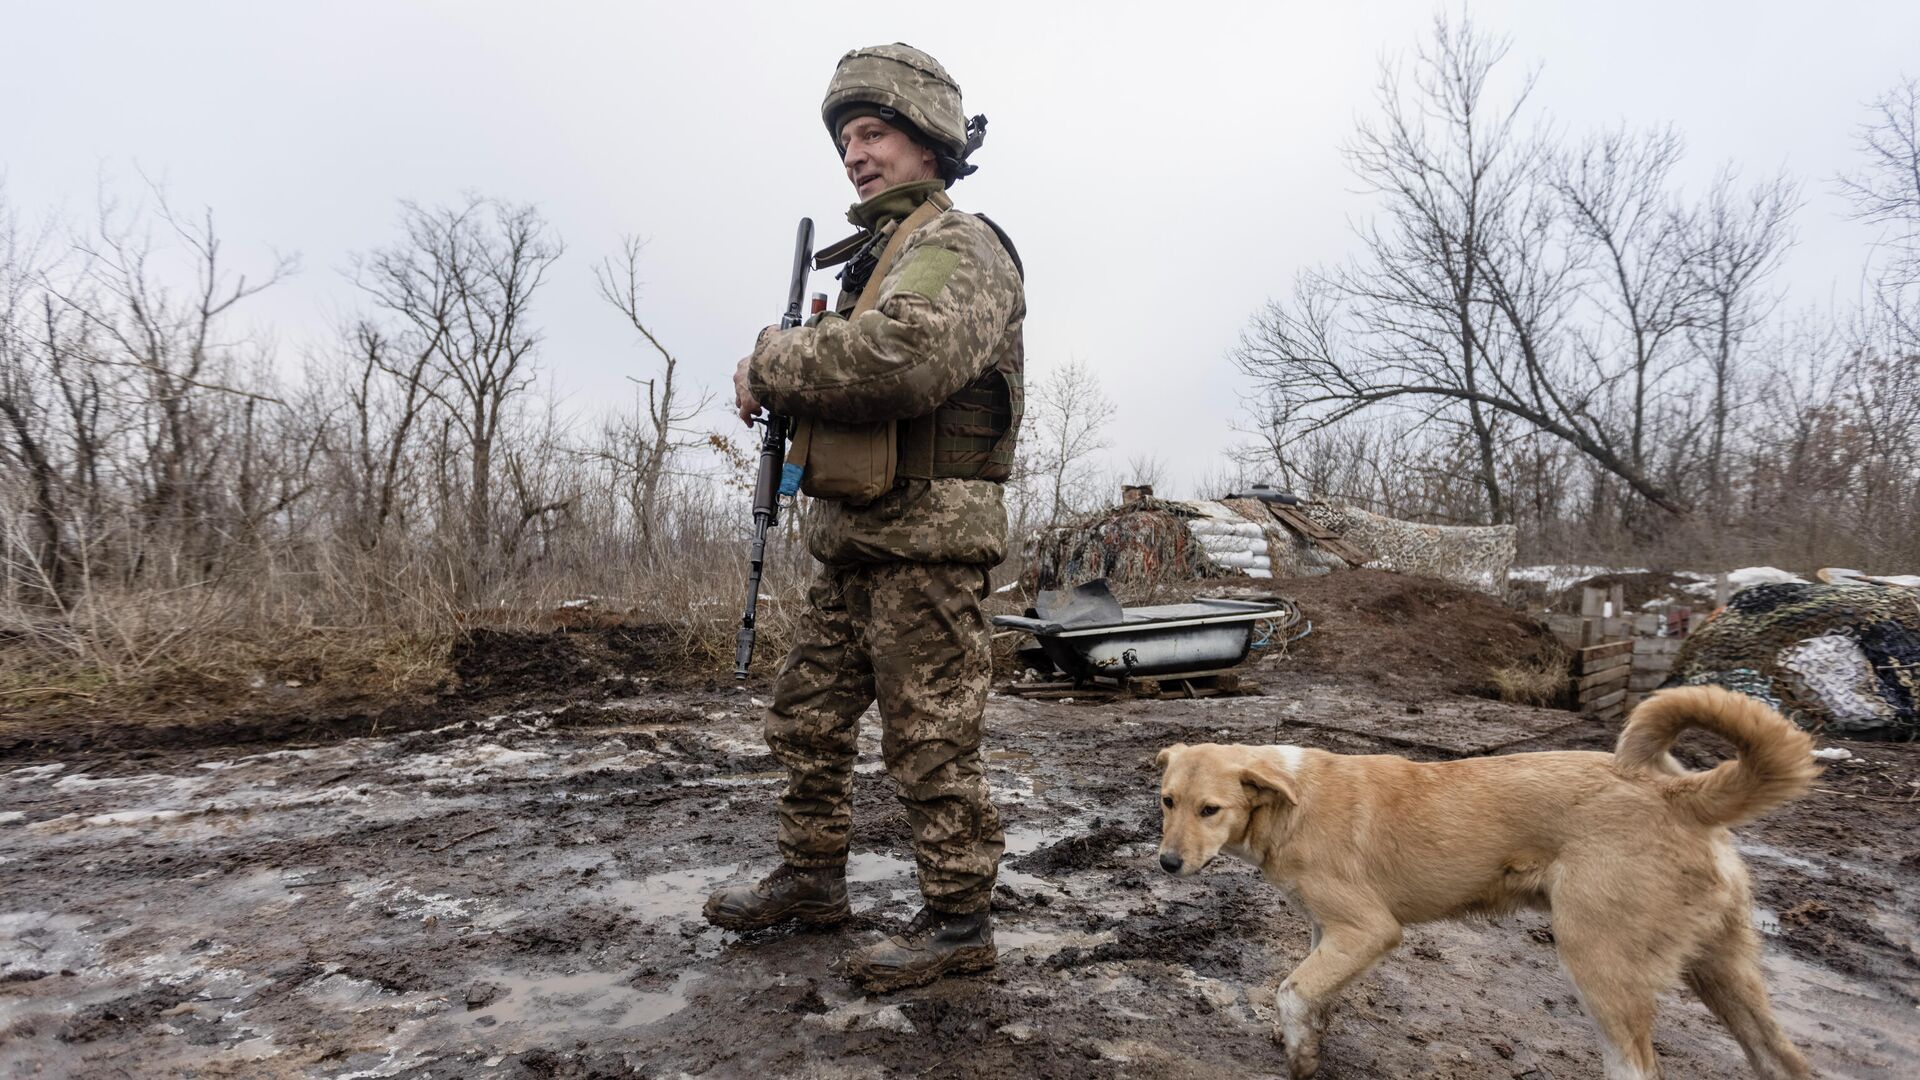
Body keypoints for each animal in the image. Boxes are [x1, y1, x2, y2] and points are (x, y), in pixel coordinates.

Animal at [1152, 684, 1812, 1068]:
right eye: (1166, 801)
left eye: (1210, 810)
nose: (1167, 864)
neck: (1290, 801)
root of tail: (1679, 793)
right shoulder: (1330, 933)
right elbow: (1313, 995)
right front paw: (1309, 1041)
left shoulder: (1369, 930)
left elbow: (1291, 991)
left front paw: (1299, 1056)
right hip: (1724, 972)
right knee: (1782, 1059)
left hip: (1600, 965)